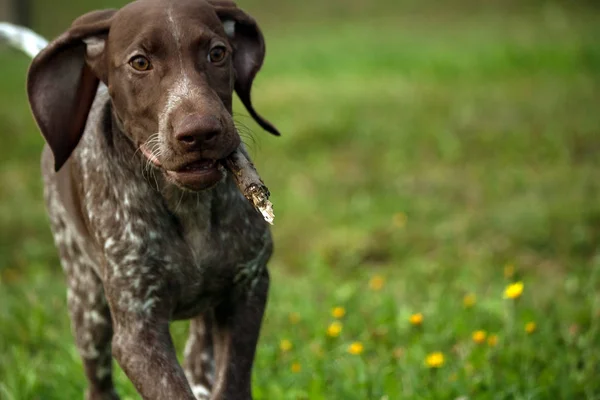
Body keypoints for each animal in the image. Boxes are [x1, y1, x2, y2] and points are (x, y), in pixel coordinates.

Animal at [22, 1, 278, 398]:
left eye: (217, 53)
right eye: (140, 63)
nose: (199, 132)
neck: (188, 208)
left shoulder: (248, 288)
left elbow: (231, 382)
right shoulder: (137, 331)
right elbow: (171, 388)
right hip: (87, 305)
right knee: (98, 383)